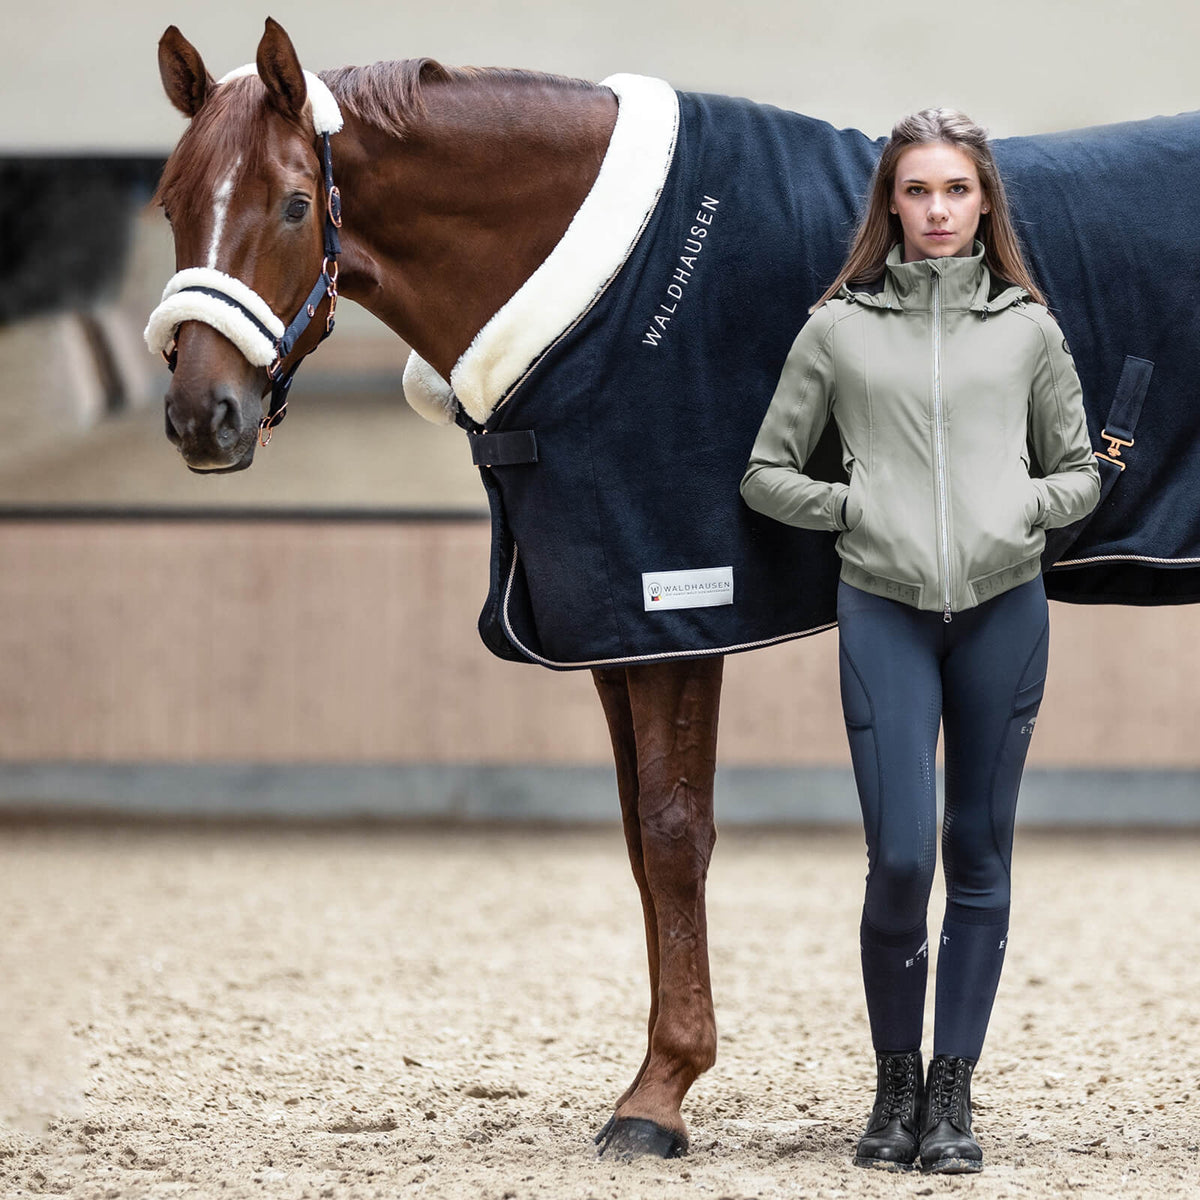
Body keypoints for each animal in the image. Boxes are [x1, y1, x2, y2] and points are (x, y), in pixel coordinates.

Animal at [147, 16, 1200, 1161]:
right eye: (168, 200)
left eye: (296, 203)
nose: (203, 417)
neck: (609, 286)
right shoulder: (614, 627)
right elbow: (638, 841)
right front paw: (663, 1075)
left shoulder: (677, 605)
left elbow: (672, 834)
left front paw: (658, 1095)